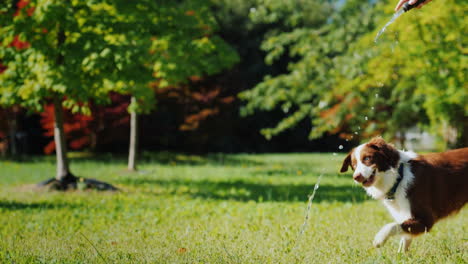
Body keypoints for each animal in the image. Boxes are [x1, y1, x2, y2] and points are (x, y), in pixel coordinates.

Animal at [340, 138, 468, 252]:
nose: (356, 177)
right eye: (354, 165)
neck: (399, 177)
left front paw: (379, 239)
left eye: (367, 158)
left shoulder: (426, 219)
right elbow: (404, 237)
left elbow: (392, 225)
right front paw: (402, 256)